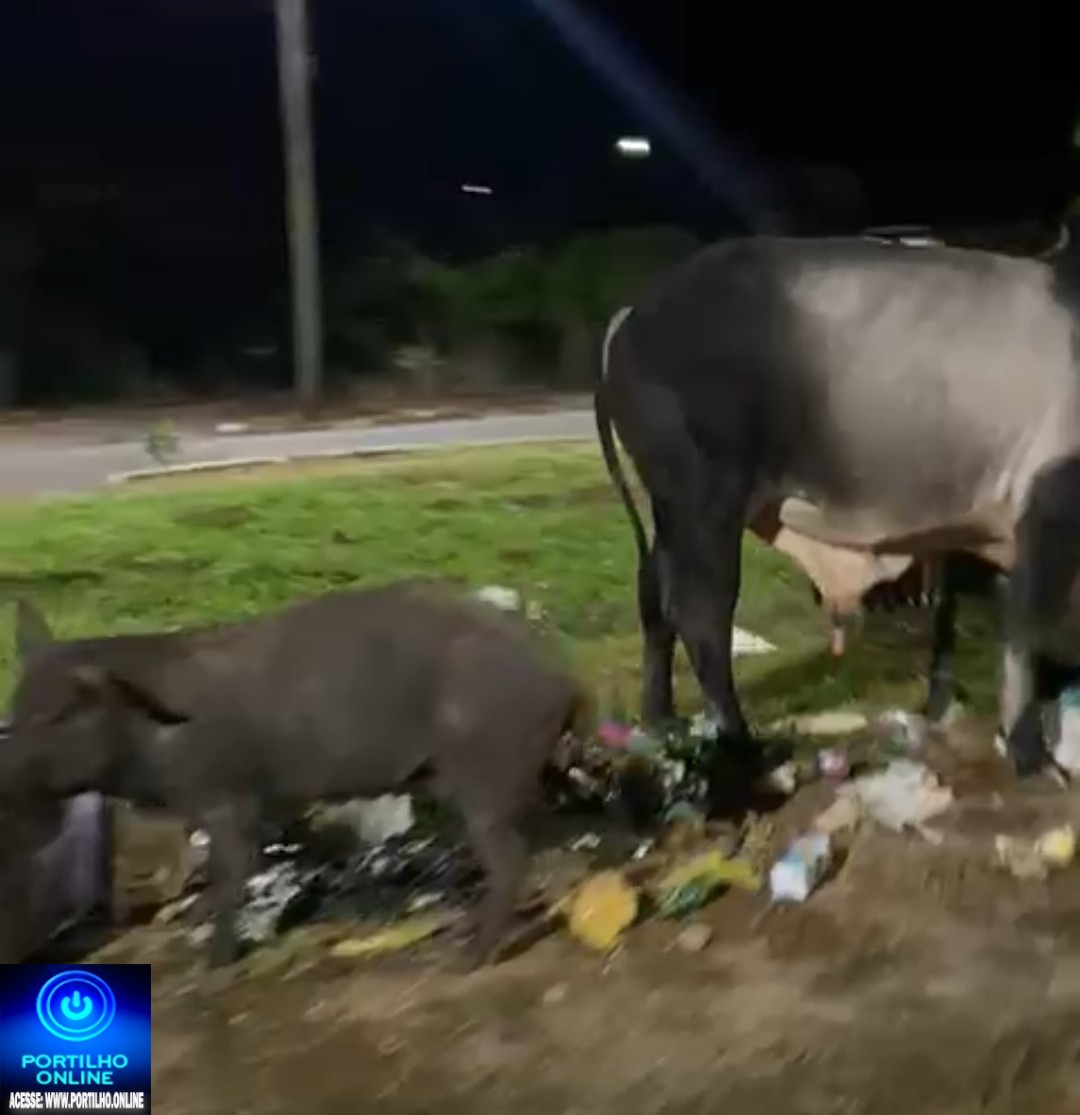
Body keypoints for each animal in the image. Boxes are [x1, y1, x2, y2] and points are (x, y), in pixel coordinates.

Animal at [0, 586, 591, 968]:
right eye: (18, 705)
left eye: (62, 713)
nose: (7, 771)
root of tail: (563, 675)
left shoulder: (229, 794)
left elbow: (233, 872)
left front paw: (212, 965)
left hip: (486, 766)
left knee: (512, 858)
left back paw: (467, 958)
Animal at [595, 227, 1080, 778]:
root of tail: (635, 311)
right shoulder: (1047, 510)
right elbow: (1026, 636)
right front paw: (1030, 755)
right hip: (707, 499)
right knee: (702, 615)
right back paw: (742, 744)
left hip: (672, 511)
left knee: (654, 597)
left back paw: (663, 722)